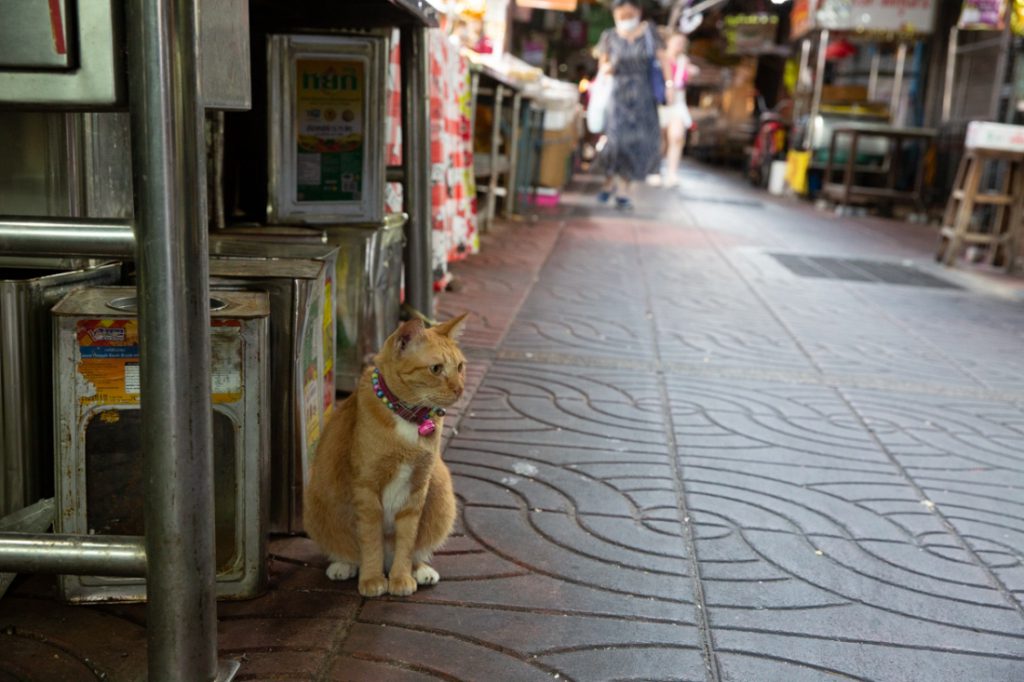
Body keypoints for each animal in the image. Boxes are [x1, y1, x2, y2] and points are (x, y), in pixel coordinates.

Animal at [301, 313, 466, 593]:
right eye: (436, 369)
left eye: (460, 367)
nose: (460, 389)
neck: (408, 418)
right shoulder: (366, 490)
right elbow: (370, 541)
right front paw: (371, 579)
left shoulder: (417, 489)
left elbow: (407, 540)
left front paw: (401, 577)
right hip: (315, 504)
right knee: (347, 550)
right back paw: (344, 565)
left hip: (441, 489)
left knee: (417, 550)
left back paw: (420, 570)